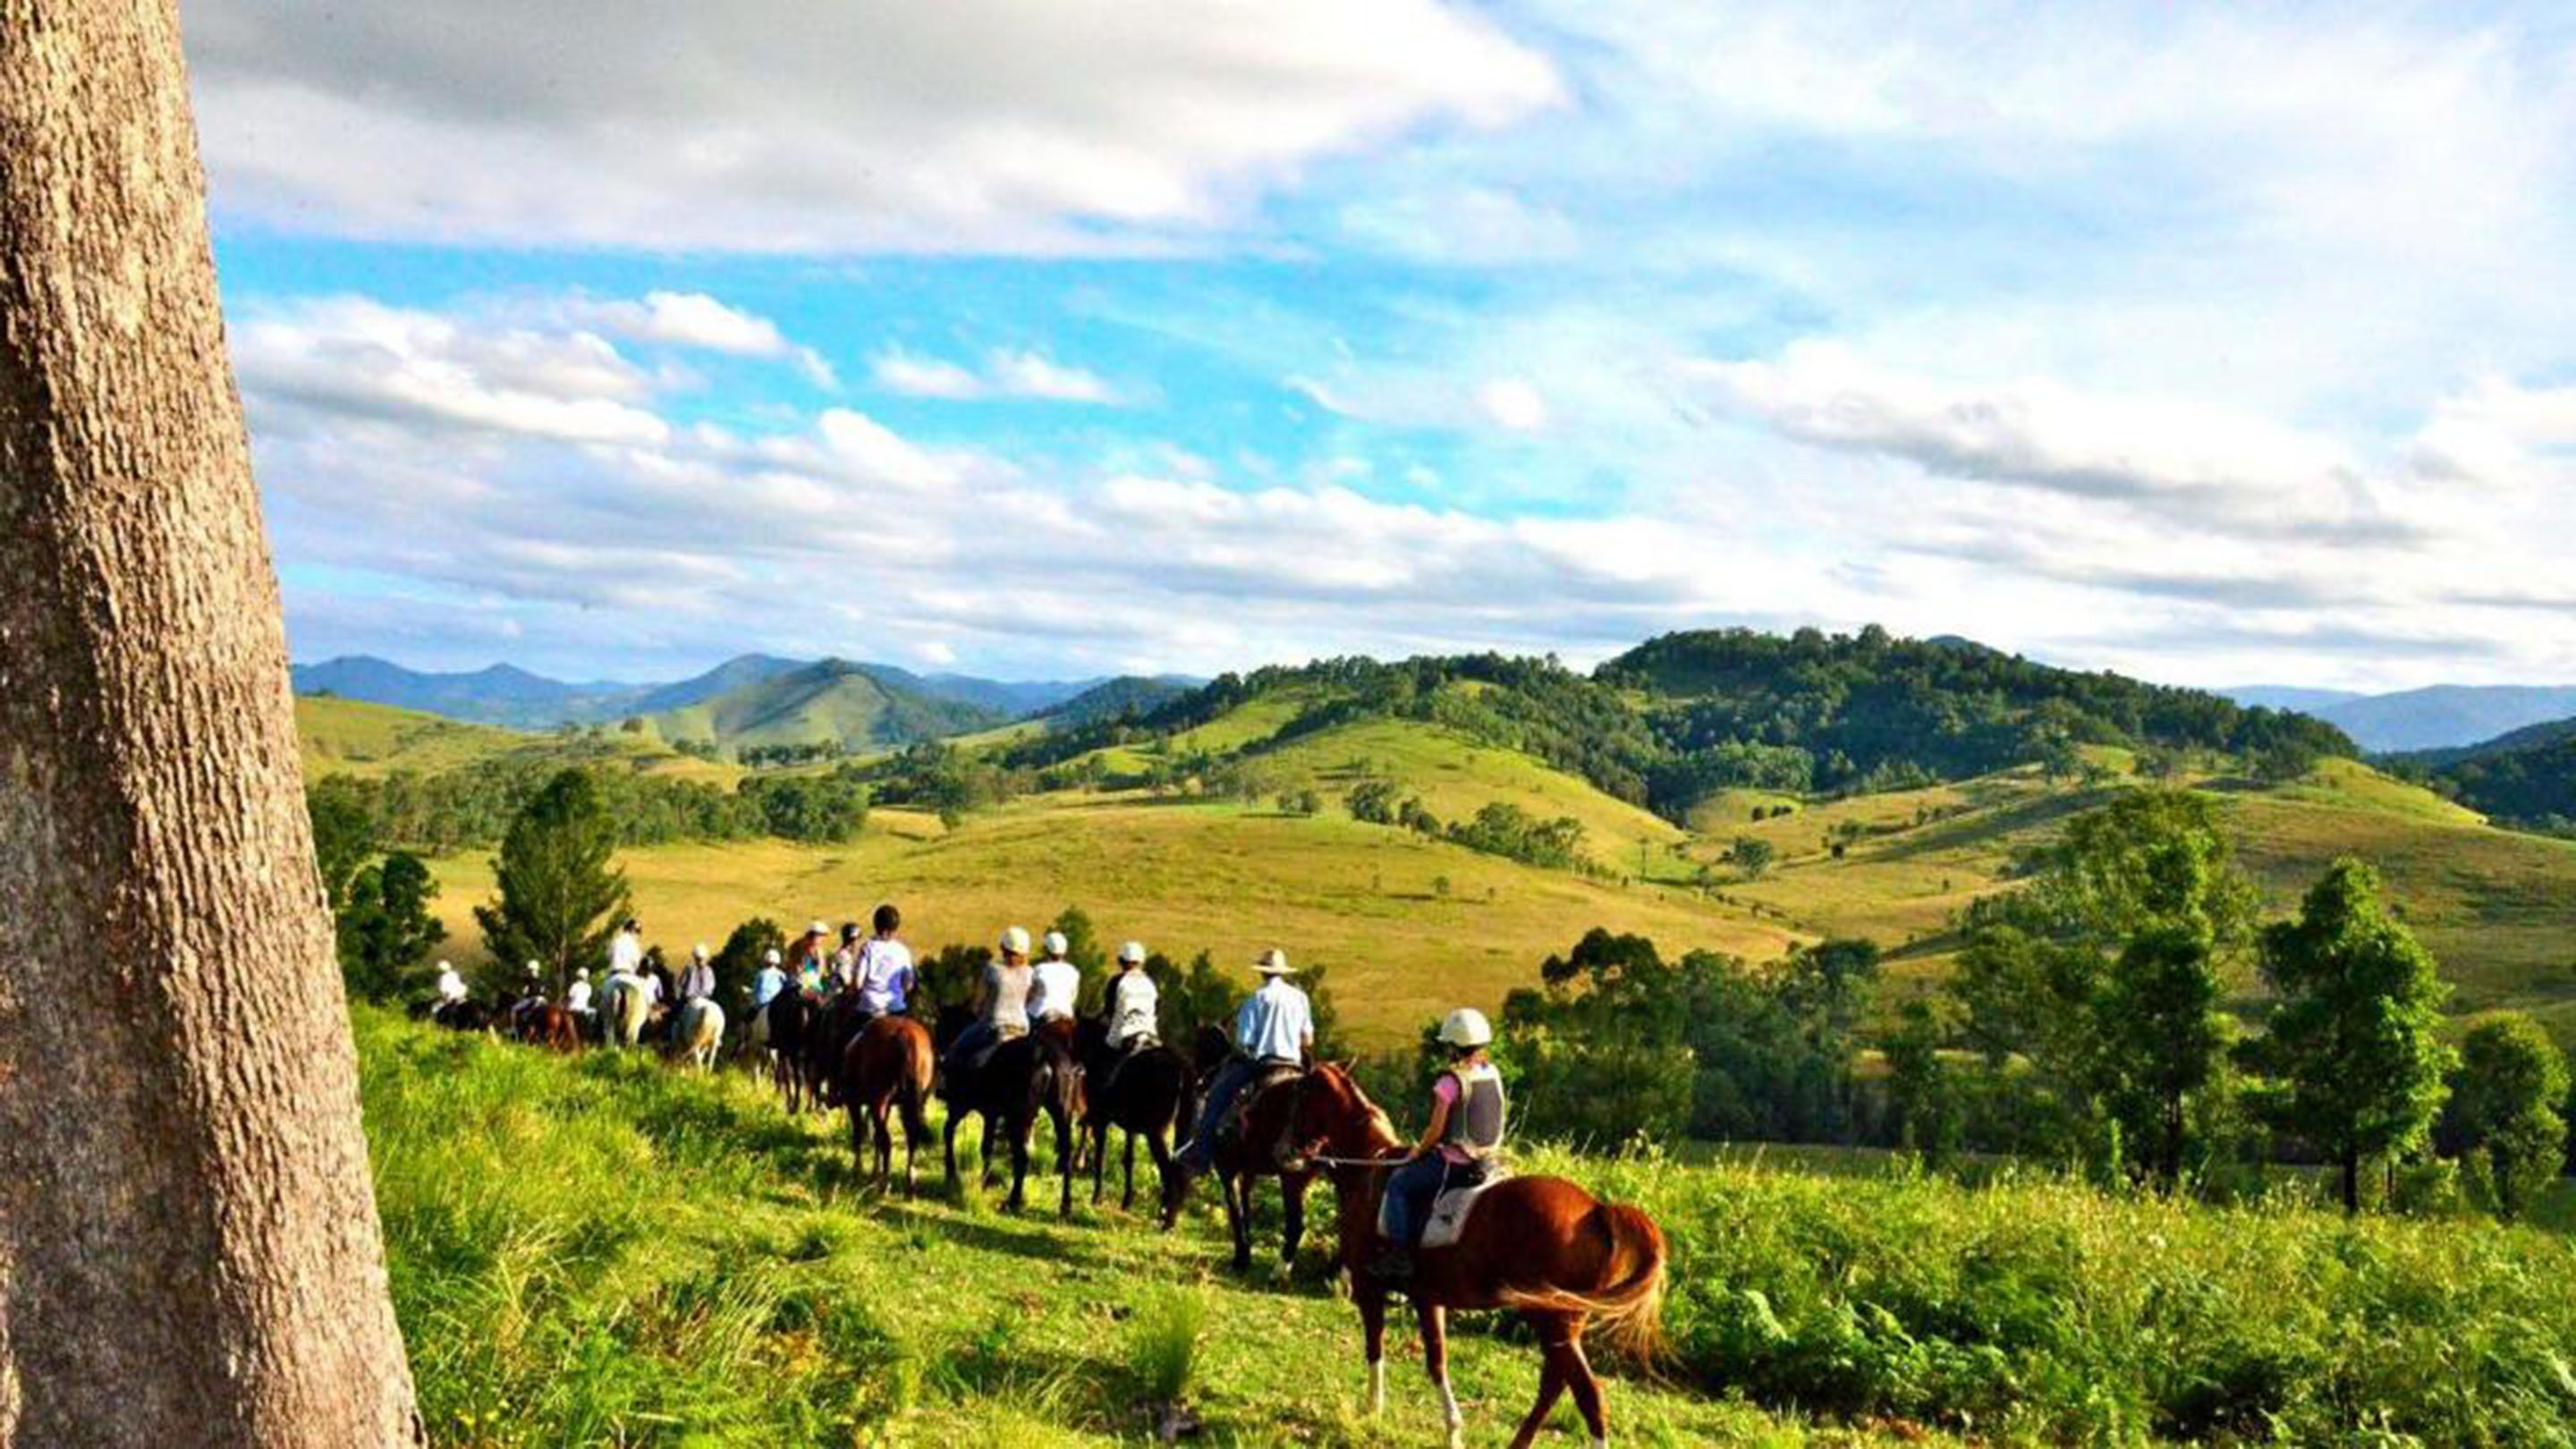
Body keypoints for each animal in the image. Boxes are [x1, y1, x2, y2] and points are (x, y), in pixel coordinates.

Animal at [842, 1014, 936, 1195]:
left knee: (887, 1140)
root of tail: (905, 1033)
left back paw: (885, 1184)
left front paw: (858, 1170)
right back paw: (909, 1183)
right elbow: (875, 1137)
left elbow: (859, 1134)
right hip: (908, 1102)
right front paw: (873, 1173)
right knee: (911, 1136)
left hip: (880, 1100)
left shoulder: (854, 1102)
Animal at [932, 1005, 1080, 1217]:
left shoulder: (960, 1107)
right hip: (1060, 1114)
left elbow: (949, 1132)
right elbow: (986, 1146)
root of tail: (1047, 1056)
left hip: (1018, 1119)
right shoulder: (991, 1114)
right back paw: (1065, 1205)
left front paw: (952, 1174)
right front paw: (984, 1181)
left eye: (940, 1026)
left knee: (1022, 1156)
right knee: (1065, 1153)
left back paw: (1013, 1200)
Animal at [1074, 1015, 1198, 1225]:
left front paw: (1096, 1198)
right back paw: (1168, 1214)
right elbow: (1129, 1160)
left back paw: (1166, 1218)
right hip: (1180, 1130)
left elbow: (1100, 1157)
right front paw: (1126, 1202)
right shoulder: (1130, 1128)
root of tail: (1181, 1069)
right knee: (1179, 1169)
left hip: (1155, 1133)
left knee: (1169, 1170)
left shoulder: (1101, 1120)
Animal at [1279, 1063, 1667, 1449]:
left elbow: (1375, 1346)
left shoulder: (1367, 1286)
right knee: (1554, 1385)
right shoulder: (1427, 1298)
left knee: (1586, 1393)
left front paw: (1373, 1411)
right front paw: (1452, 1430)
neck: (1368, 1166)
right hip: (1561, 1323)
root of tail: (1597, 1210)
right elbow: (1437, 1360)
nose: (1285, 1152)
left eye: (1300, 1092)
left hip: (1554, 1320)